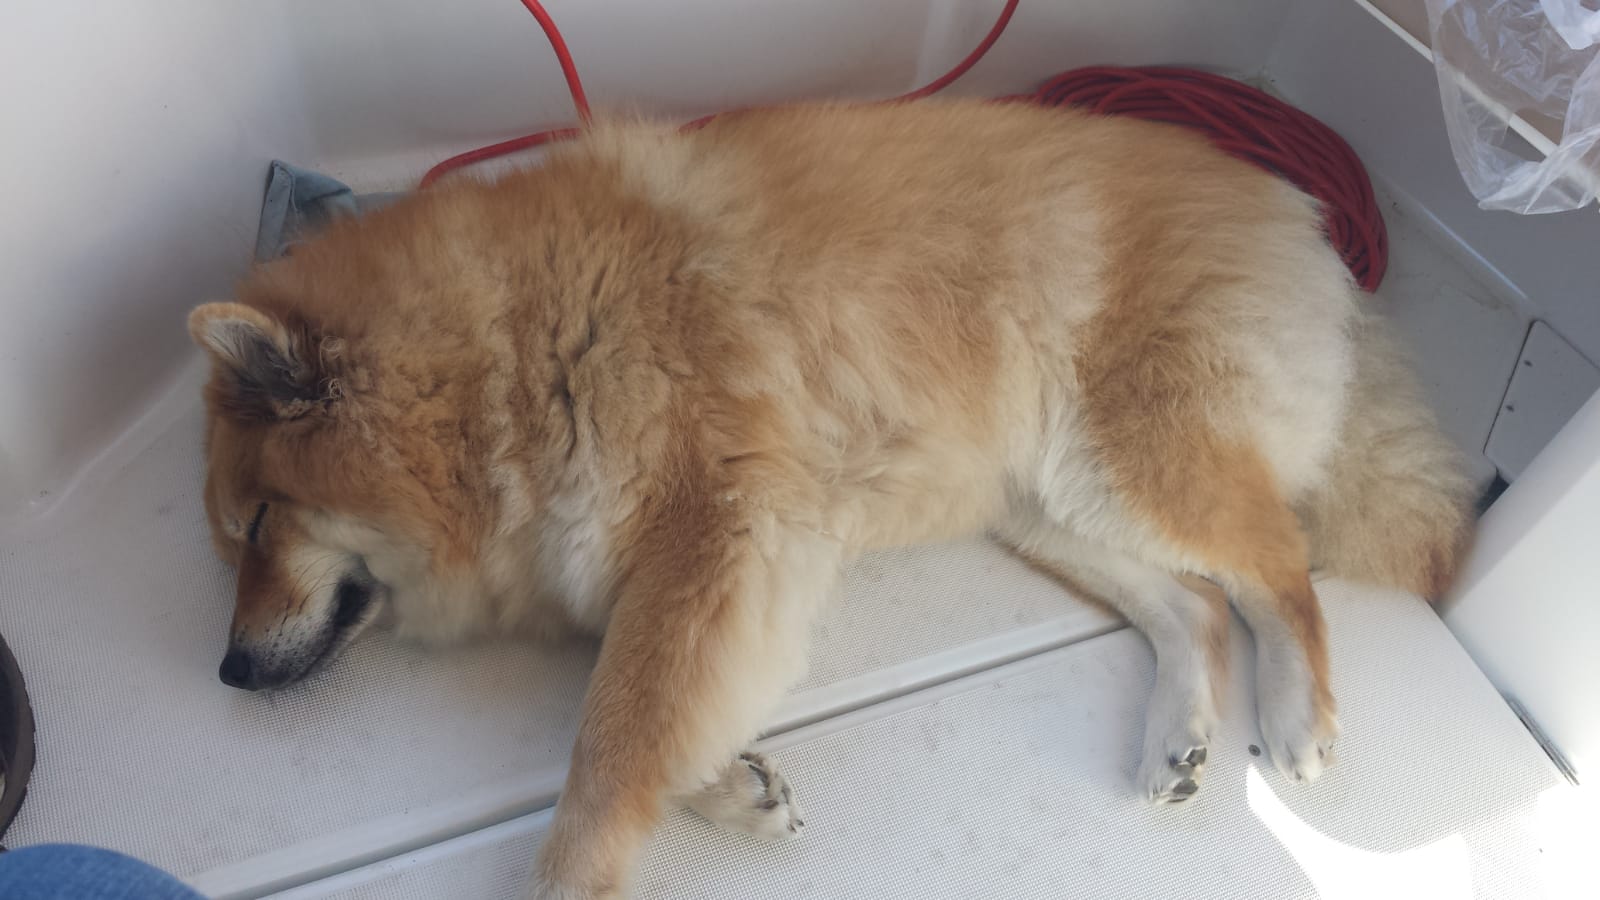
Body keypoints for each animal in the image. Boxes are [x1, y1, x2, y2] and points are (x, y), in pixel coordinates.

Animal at [188, 99, 1475, 898]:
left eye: (258, 525)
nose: (230, 673)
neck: (507, 352)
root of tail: (1291, 212)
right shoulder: (717, 566)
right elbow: (655, 716)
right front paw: (733, 785)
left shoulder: (718, 530)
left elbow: (612, 736)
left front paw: (572, 873)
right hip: (1050, 501)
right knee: (1196, 608)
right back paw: (1178, 738)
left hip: (1132, 461)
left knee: (1281, 570)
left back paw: (1300, 717)